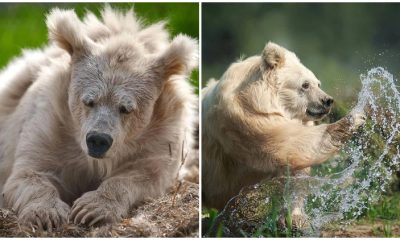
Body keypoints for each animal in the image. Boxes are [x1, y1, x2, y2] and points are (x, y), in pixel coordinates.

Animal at [0, 6, 198, 231]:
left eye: (126, 108)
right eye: (89, 101)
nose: (98, 140)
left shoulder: (161, 136)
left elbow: (144, 175)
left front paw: (89, 210)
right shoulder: (51, 125)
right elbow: (30, 173)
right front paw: (46, 214)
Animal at [202, 41, 364, 216]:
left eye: (318, 83)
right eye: (305, 84)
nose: (327, 100)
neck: (252, 97)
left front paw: (293, 214)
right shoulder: (243, 119)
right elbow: (287, 144)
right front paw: (353, 119)